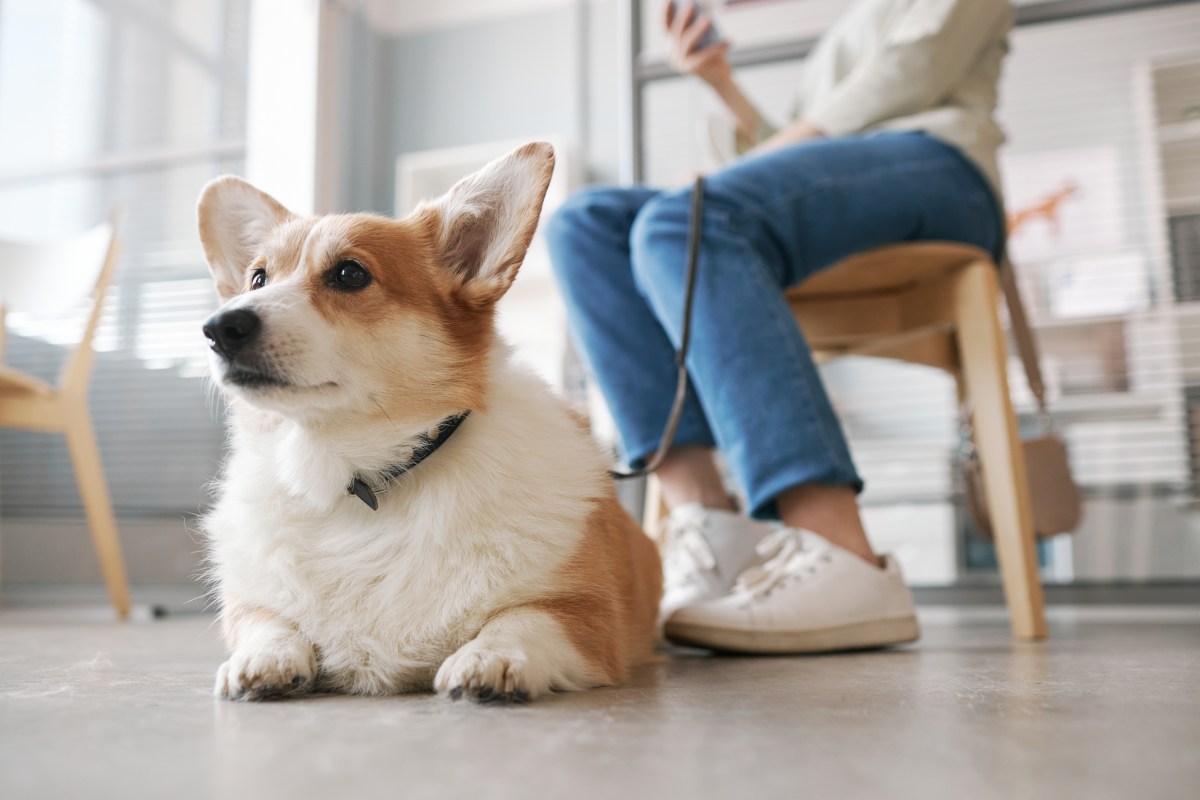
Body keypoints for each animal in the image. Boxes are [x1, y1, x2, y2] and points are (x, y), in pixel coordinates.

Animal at [200, 142, 662, 700]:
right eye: (257, 279)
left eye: (350, 274)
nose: (219, 328)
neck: (358, 476)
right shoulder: (253, 604)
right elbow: (269, 621)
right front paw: (263, 660)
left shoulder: (586, 616)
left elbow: (521, 620)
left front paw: (491, 657)